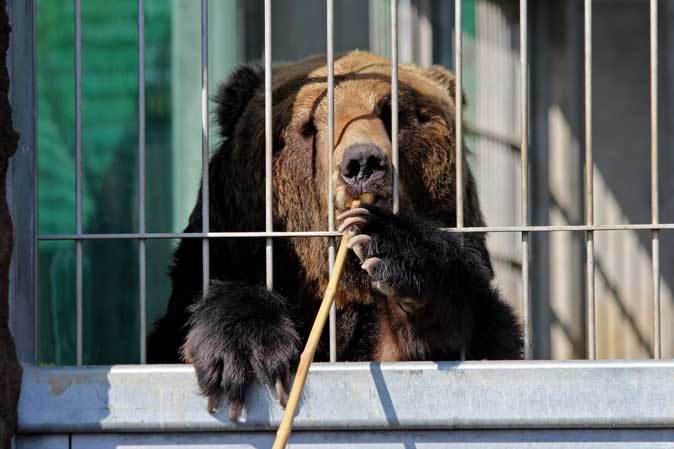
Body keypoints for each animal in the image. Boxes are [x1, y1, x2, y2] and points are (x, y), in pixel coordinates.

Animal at [150, 50, 524, 414]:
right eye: (308, 125)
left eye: (393, 112)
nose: (363, 163)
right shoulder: (228, 249)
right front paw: (244, 351)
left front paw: (397, 253)